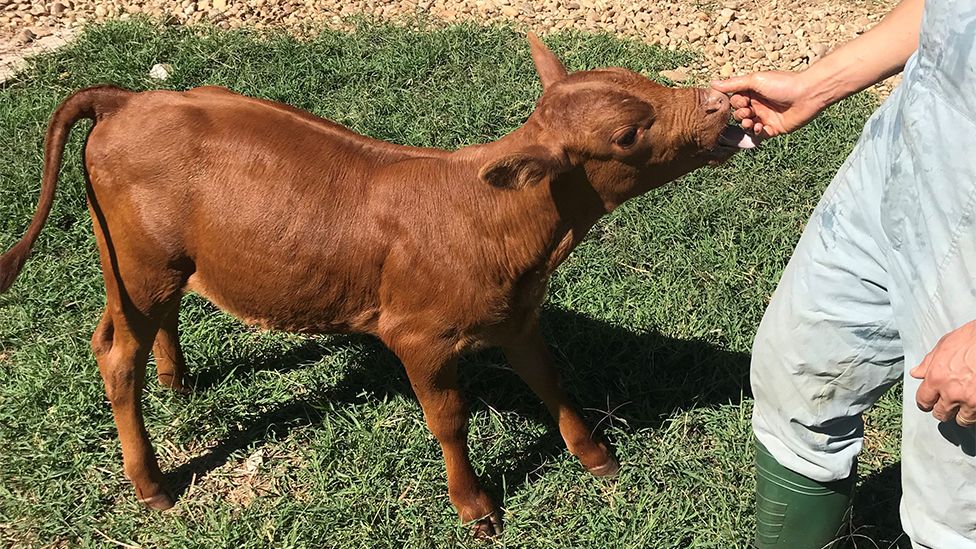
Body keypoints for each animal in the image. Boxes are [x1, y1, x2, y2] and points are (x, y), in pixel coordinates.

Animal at [0, 34, 748, 536]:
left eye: (643, 80)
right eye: (626, 134)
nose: (720, 105)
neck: (501, 221)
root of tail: (130, 99)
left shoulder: (518, 315)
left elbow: (550, 381)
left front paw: (596, 457)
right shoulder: (417, 335)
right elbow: (449, 419)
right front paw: (474, 506)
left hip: (155, 262)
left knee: (150, 324)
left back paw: (178, 380)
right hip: (140, 261)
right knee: (114, 351)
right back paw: (152, 482)